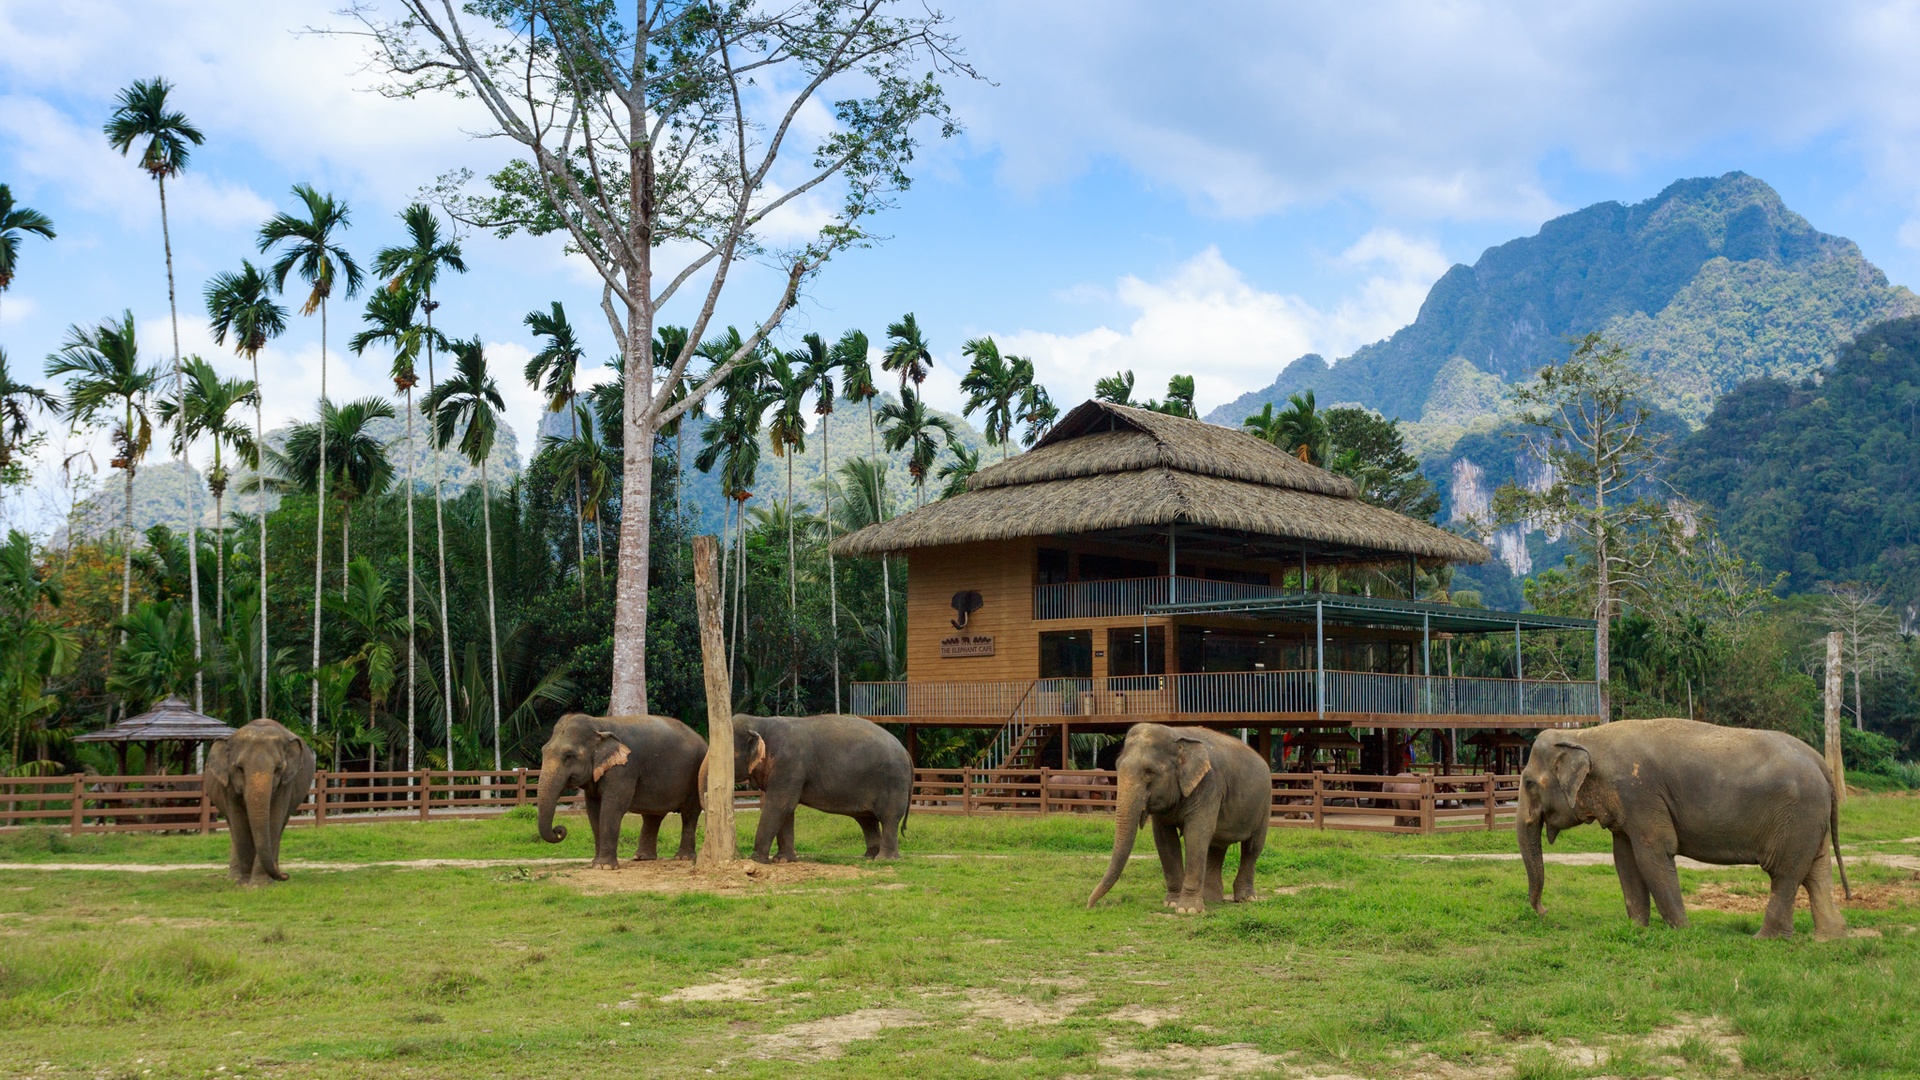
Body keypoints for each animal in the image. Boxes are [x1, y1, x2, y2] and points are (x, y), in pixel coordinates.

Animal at [205, 718, 316, 884]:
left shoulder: (286, 784)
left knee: (280, 826)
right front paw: (244, 882)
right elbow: (239, 824)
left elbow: (274, 821)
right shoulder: (228, 785)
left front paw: (259, 884)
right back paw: (233, 878)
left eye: (278, 768)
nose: (285, 875)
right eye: (239, 768)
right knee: (233, 828)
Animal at [536, 713, 706, 870]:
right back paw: (642, 858)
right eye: (543, 751)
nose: (559, 830)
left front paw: (604, 866)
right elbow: (593, 810)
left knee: (689, 814)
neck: (599, 724)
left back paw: (683, 857)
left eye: (569, 755)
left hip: (695, 778)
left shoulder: (624, 768)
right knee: (653, 816)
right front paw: (595, 863)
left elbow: (613, 806)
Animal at [718, 714, 913, 862]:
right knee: (867, 819)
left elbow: (780, 805)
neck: (760, 722)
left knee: (889, 818)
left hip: (894, 782)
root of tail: (906, 753)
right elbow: (786, 809)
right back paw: (869, 857)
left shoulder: (790, 764)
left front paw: (756, 860)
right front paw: (783, 860)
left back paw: (884, 860)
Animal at [1087, 724, 1271, 914]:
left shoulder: (1209, 785)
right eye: (1117, 766)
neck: (1176, 735)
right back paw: (1210, 898)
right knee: (1217, 847)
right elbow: (1165, 840)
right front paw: (1172, 903)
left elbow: (1196, 835)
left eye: (1149, 772)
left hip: (1264, 804)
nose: (1089, 905)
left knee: (1252, 847)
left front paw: (1188, 910)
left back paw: (1246, 898)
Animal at [1520, 718, 1851, 940]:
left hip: (1796, 816)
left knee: (1785, 873)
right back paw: (1829, 938)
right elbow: (1625, 860)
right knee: (1816, 871)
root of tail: (1821, 763)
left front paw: (1682, 931)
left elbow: (1653, 854)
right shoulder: (1627, 808)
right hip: (1809, 820)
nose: (1545, 913)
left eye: (1529, 783)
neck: (1584, 735)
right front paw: (1637, 929)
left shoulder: (1639, 793)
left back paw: (1765, 939)